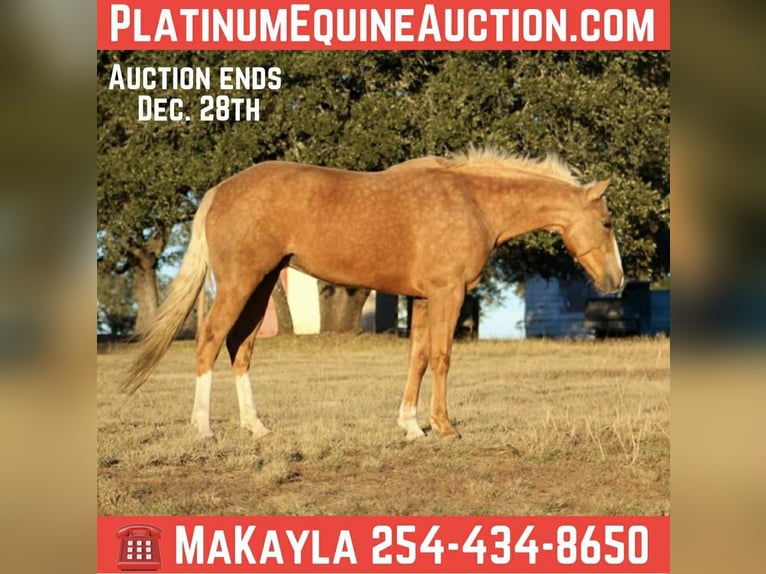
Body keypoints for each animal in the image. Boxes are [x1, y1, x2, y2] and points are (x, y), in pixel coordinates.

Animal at [119, 148, 624, 440]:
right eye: (606, 222)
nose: (616, 282)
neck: (473, 200)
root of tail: (221, 189)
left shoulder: (423, 298)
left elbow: (417, 357)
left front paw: (411, 425)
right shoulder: (448, 293)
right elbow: (441, 357)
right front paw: (444, 426)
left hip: (261, 285)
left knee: (239, 348)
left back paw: (256, 427)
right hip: (241, 282)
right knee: (209, 341)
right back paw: (203, 428)